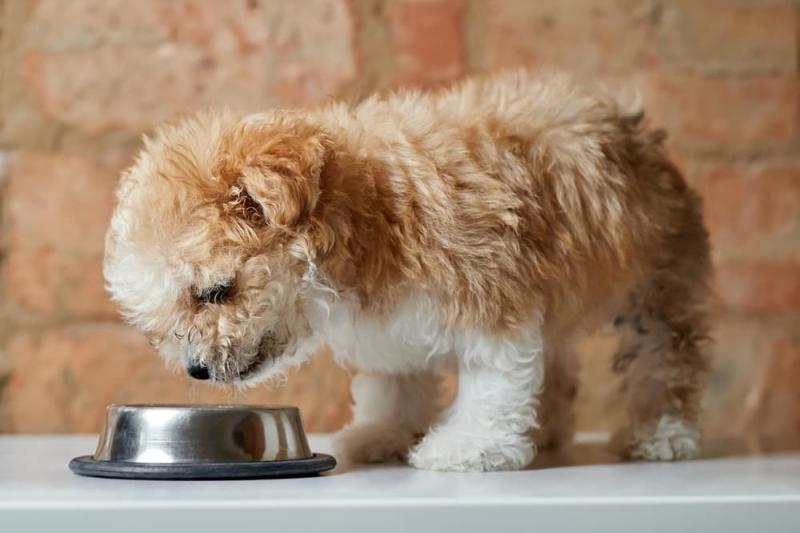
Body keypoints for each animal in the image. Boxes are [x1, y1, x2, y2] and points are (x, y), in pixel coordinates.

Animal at [103, 69, 708, 470]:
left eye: (215, 292)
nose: (196, 371)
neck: (372, 214)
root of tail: (628, 123)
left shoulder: (492, 294)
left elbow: (492, 380)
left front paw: (470, 446)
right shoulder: (389, 327)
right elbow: (393, 383)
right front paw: (382, 434)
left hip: (656, 283)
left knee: (664, 357)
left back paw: (663, 434)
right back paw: (551, 434)